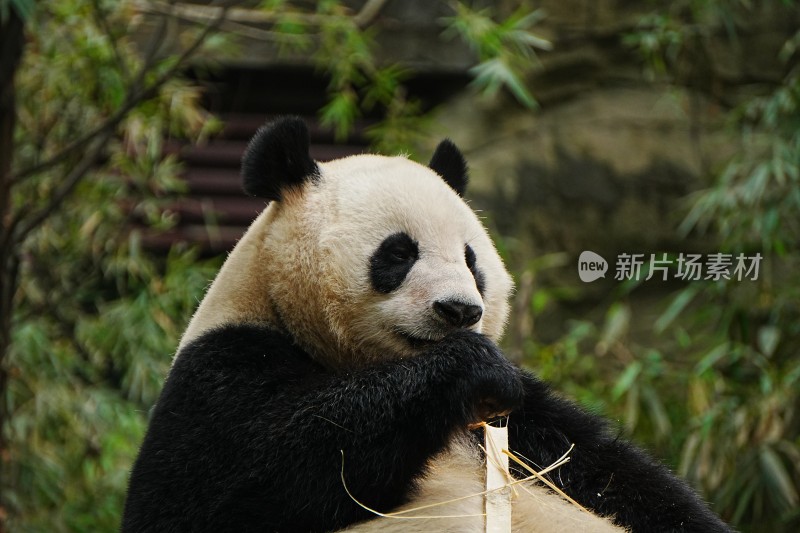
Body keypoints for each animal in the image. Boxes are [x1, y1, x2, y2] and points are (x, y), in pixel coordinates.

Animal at [120, 117, 732, 532]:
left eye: (471, 260)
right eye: (398, 253)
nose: (460, 311)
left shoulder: (532, 427)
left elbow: (617, 477)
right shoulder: (222, 372)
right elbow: (240, 485)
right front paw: (471, 370)